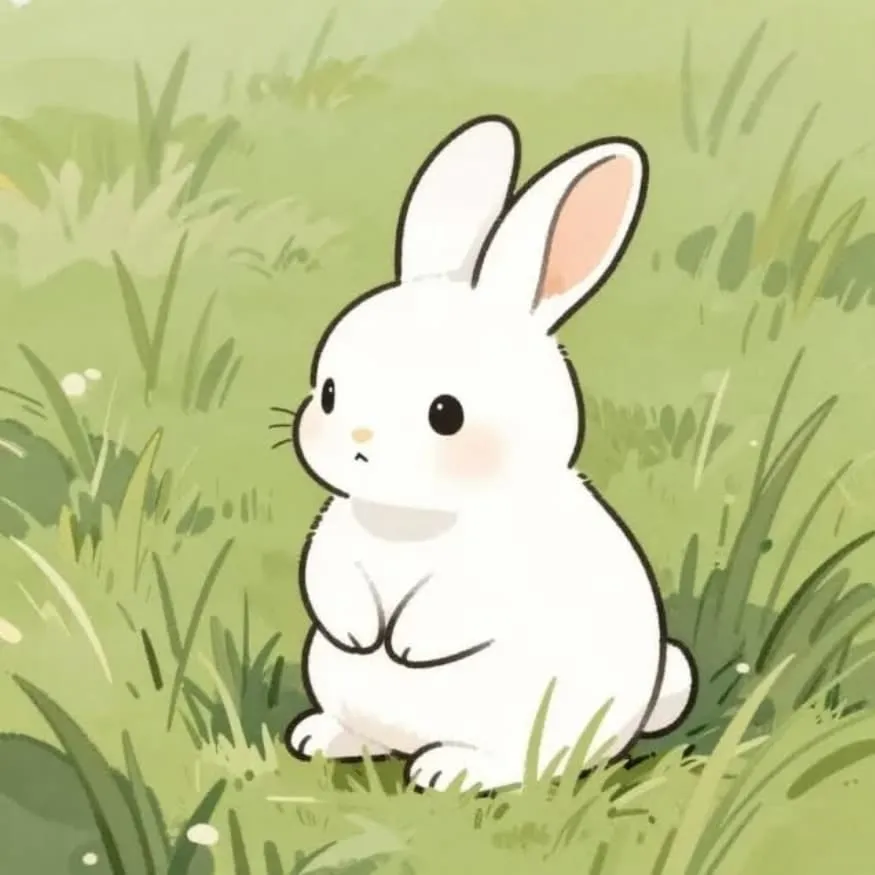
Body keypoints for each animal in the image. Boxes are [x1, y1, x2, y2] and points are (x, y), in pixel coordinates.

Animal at [284, 115, 697, 793]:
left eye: (445, 414)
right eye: (330, 393)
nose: (360, 442)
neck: (413, 516)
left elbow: (457, 610)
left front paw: (405, 645)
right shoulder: (335, 537)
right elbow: (330, 583)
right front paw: (362, 632)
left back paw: (449, 767)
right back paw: (325, 737)